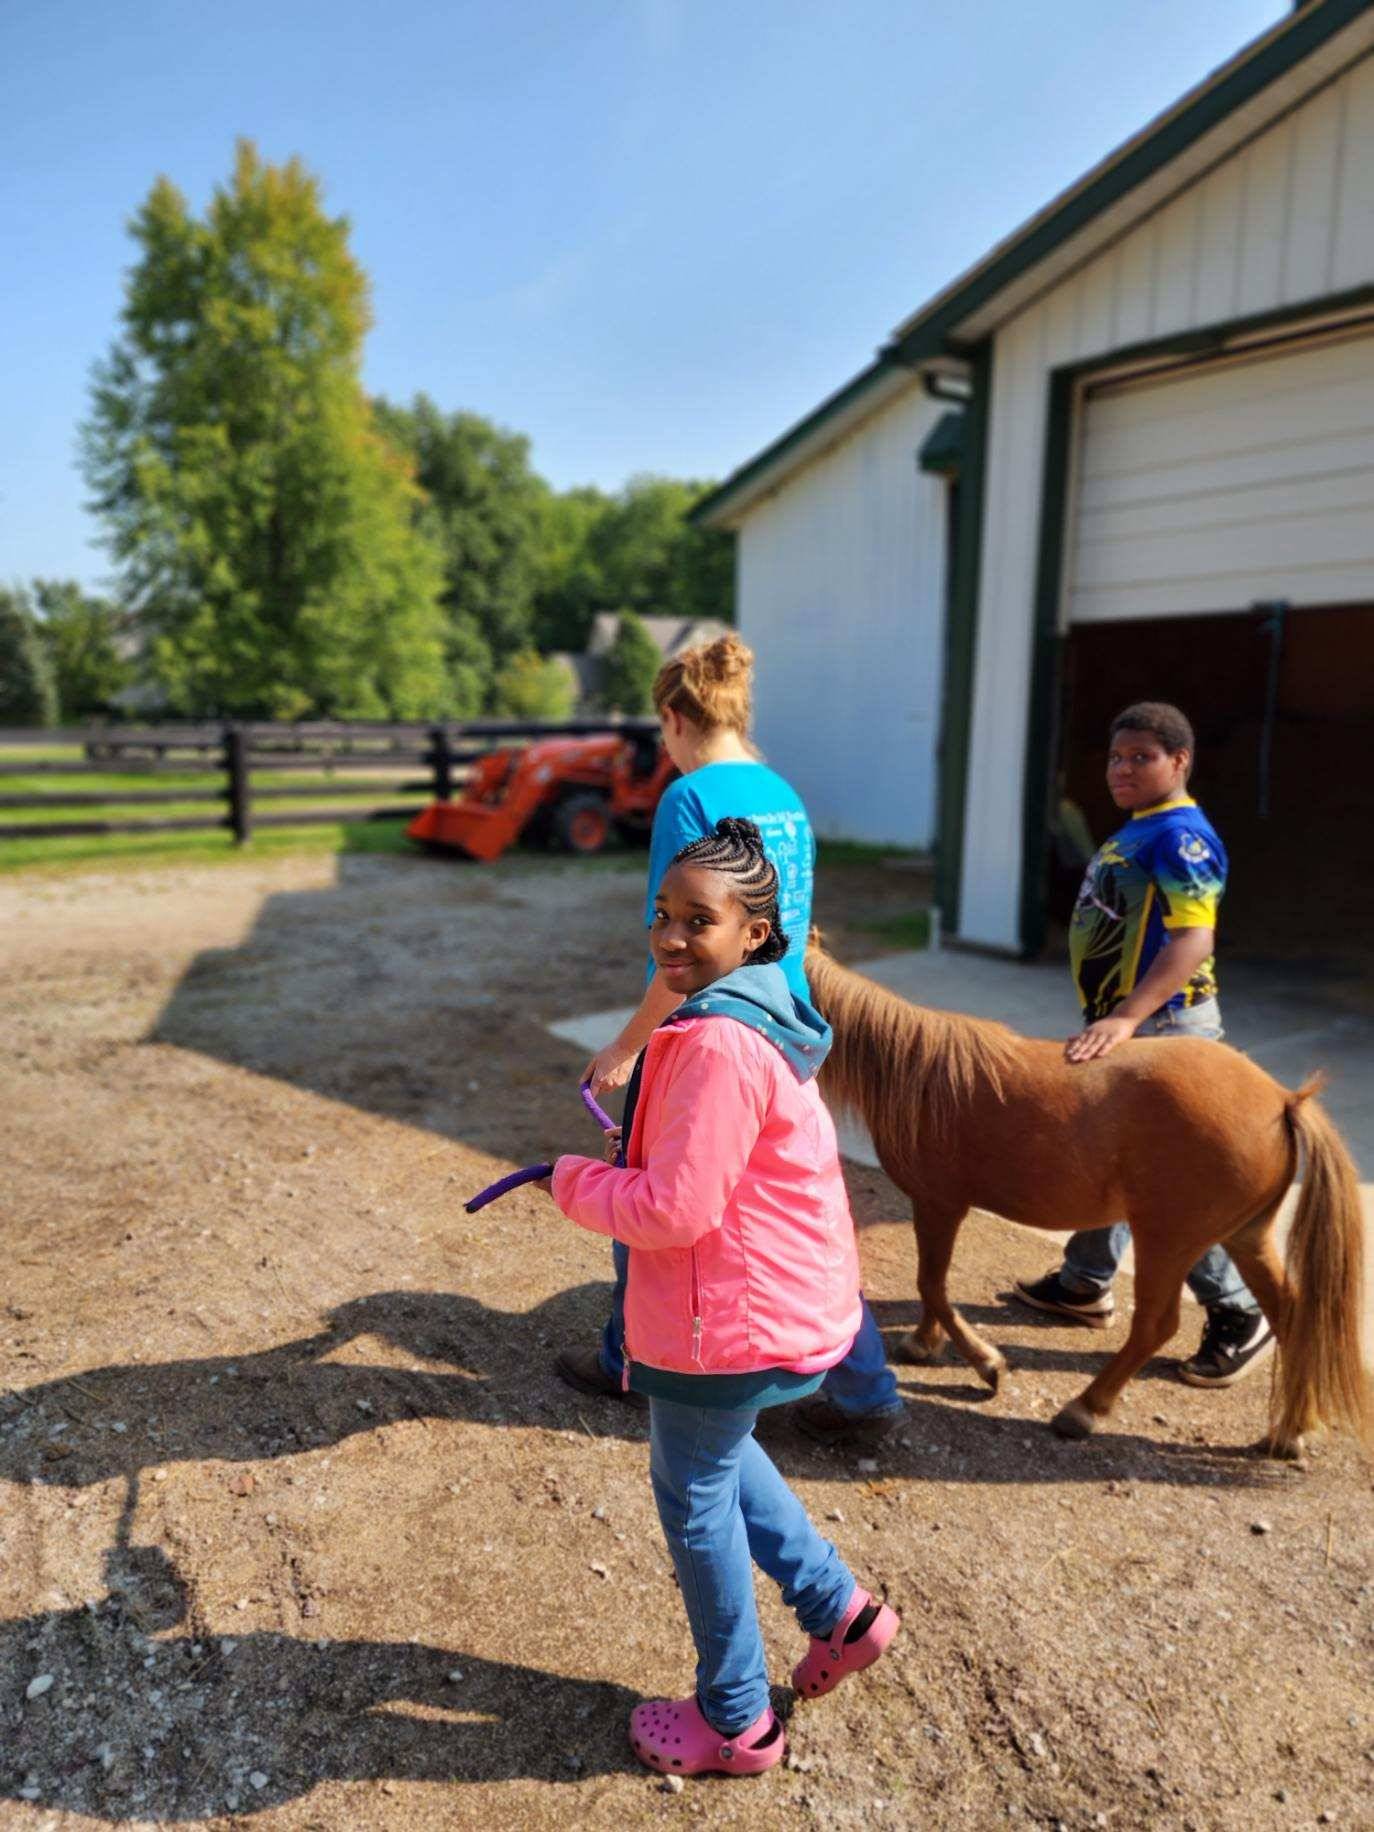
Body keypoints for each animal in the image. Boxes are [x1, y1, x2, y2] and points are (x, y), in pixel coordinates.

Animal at [806, 945, 1374, 1458]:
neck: (916, 1074)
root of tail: (1283, 1101)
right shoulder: (937, 1207)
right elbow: (932, 1287)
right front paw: (924, 1345)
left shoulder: (939, 1203)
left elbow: (932, 1284)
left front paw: (986, 1364)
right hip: (1246, 1236)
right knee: (1292, 1313)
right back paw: (1292, 1431)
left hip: (1167, 1239)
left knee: (1156, 1325)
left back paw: (1085, 1409)